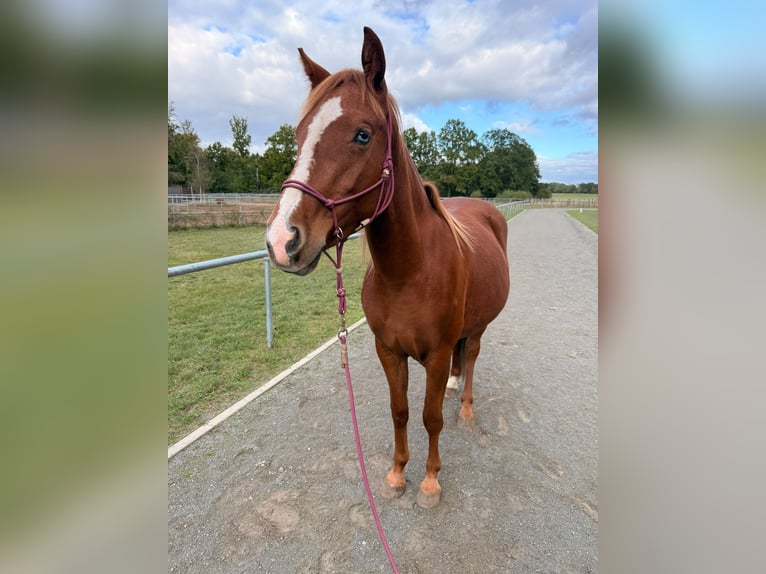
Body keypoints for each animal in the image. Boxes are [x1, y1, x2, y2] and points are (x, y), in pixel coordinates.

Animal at [266, 27, 510, 509]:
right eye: (300, 134)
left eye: (362, 135)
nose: (282, 241)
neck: (409, 273)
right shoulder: (388, 351)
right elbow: (400, 412)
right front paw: (397, 473)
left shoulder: (436, 355)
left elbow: (431, 417)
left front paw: (430, 481)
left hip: (479, 326)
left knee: (471, 355)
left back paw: (466, 405)